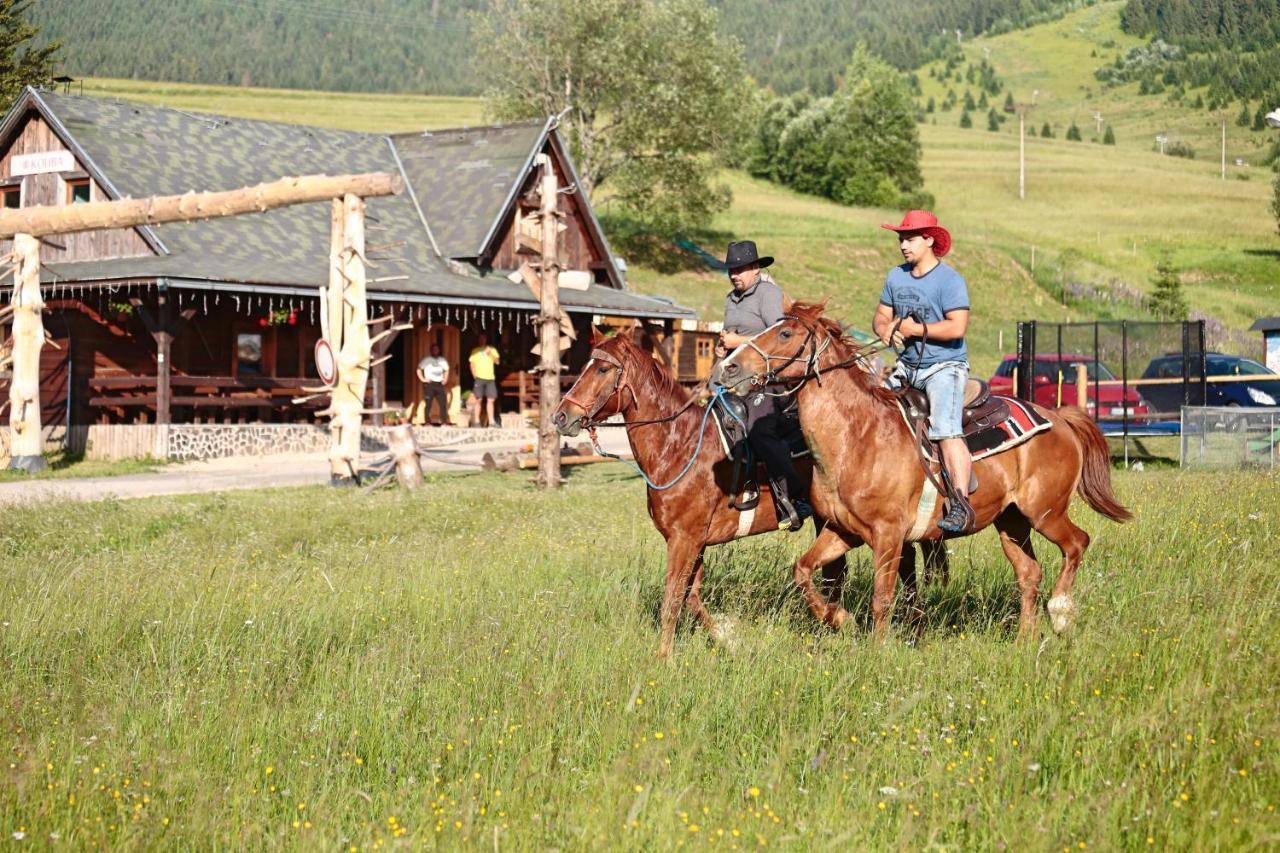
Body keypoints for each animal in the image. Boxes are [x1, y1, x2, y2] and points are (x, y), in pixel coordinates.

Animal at [555, 327, 947, 653]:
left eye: (602, 370)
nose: (561, 416)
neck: (678, 445)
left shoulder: (685, 539)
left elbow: (673, 600)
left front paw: (663, 657)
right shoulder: (695, 542)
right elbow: (692, 598)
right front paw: (728, 638)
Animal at [716, 302, 1136, 640]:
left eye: (785, 333)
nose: (729, 366)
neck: (857, 437)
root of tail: (1059, 417)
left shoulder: (888, 535)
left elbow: (883, 597)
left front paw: (875, 651)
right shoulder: (842, 530)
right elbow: (802, 570)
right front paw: (837, 617)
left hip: (1045, 511)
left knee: (1077, 543)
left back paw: (1061, 612)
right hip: (1012, 522)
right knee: (1029, 574)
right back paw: (1025, 641)